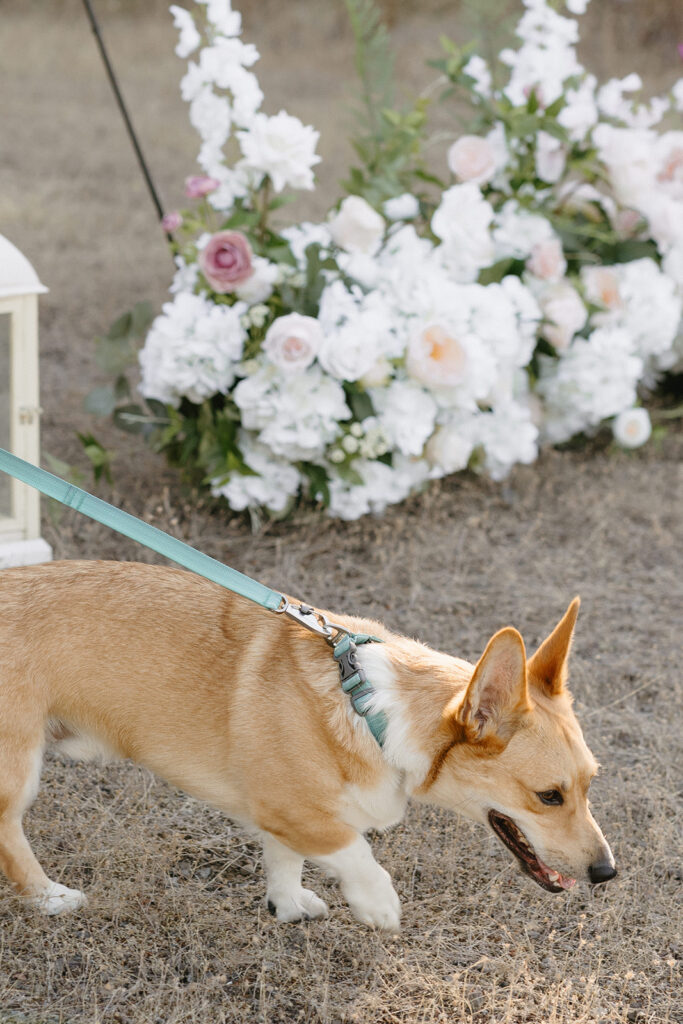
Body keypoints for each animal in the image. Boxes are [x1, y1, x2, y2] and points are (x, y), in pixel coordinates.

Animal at [0, 561, 614, 929]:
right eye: (549, 796)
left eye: (589, 784)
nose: (607, 873)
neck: (371, 712)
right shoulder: (297, 809)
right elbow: (353, 849)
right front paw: (378, 905)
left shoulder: (282, 814)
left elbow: (285, 858)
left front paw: (288, 905)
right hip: (17, 768)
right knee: (9, 833)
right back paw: (49, 897)